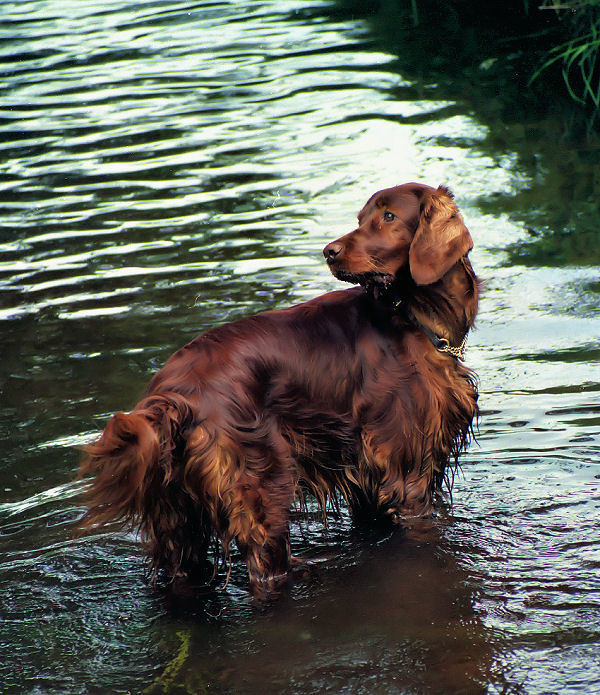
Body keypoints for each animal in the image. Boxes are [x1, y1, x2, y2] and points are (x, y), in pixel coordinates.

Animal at [78, 182, 478, 596]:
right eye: (362, 218)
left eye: (388, 216)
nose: (329, 251)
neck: (414, 317)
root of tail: (172, 395)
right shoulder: (407, 477)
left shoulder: (367, 483)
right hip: (261, 493)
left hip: (177, 521)